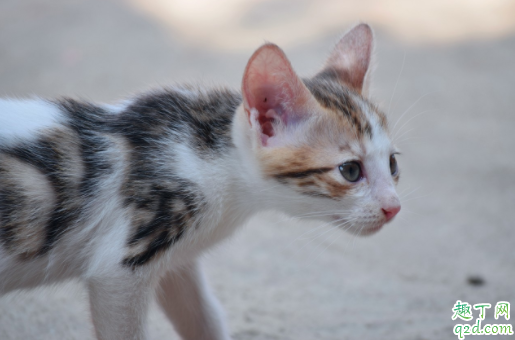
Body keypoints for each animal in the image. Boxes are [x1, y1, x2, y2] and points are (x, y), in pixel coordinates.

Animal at [0, 24, 402, 340]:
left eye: (393, 164)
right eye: (350, 171)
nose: (394, 207)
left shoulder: (177, 263)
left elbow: (204, 319)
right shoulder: (120, 266)